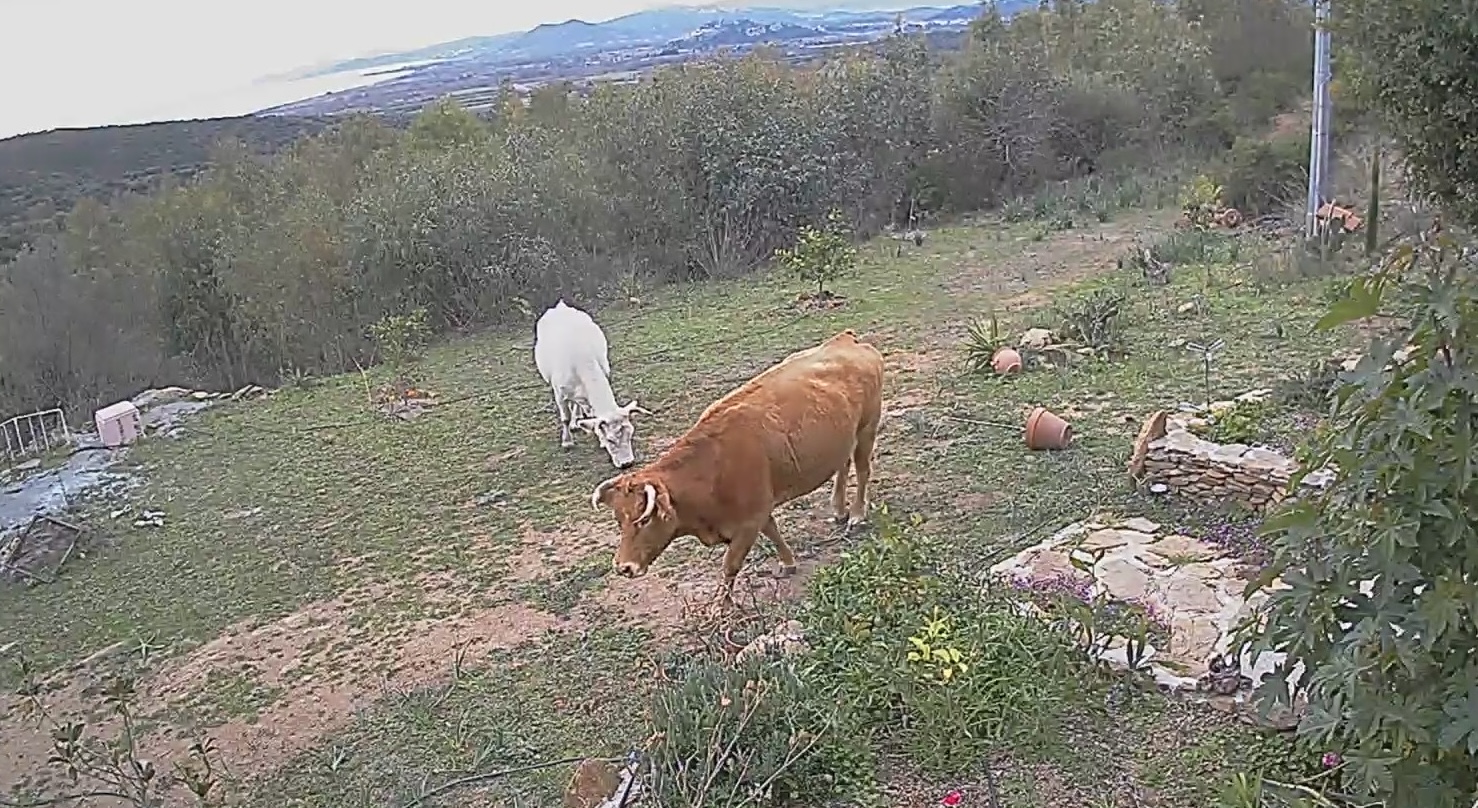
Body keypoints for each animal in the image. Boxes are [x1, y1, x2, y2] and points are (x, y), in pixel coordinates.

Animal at [533, 300, 651, 469]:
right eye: (610, 439)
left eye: (630, 433)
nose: (627, 463)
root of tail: (560, 305)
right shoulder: (559, 392)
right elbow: (565, 418)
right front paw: (567, 442)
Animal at [589, 329, 884, 607]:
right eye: (619, 519)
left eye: (644, 519)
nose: (623, 567)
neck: (711, 465)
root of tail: (845, 339)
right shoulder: (758, 512)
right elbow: (773, 532)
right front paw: (788, 563)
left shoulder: (749, 522)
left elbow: (730, 565)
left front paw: (722, 606)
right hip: (844, 437)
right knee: (843, 465)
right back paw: (839, 510)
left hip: (866, 429)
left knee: (862, 470)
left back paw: (857, 514)